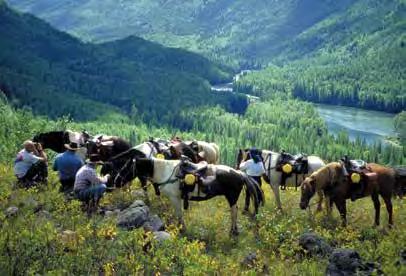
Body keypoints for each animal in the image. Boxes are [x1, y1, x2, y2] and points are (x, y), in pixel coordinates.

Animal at [112, 156, 264, 236]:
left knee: (234, 212)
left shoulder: (175, 198)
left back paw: (233, 231)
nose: (116, 180)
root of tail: (240, 173)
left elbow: (179, 214)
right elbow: (179, 214)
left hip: (231, 197)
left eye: (126, 167)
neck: (165, 172)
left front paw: (181, 230)